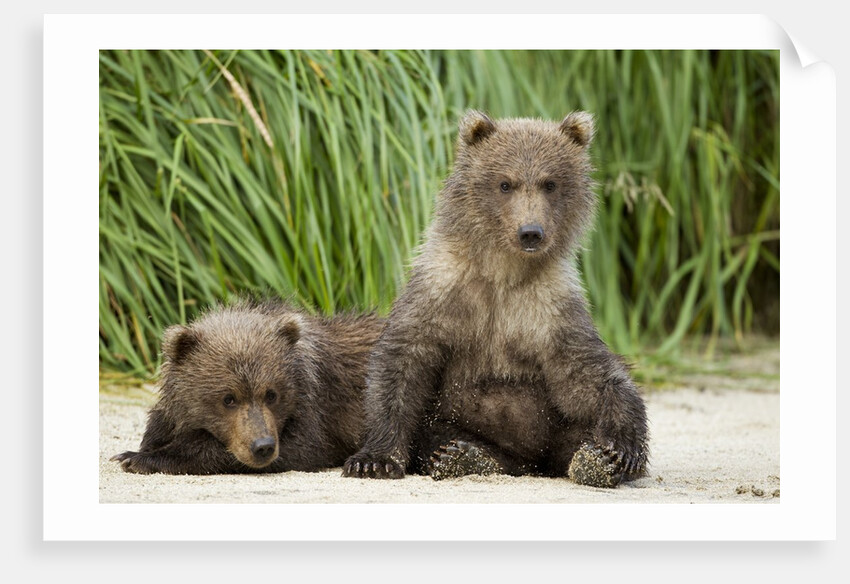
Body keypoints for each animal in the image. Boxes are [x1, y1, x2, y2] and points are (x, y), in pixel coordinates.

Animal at [112, 299, 384, 475]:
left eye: (272, 394)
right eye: (228, 398)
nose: (263, 446)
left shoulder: (316, 405)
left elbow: (303, 448)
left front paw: (137, 458)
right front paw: (139, 450)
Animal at [342, 110, 649, 488]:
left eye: (550, 183)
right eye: (505, 183)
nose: (531, 232)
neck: (502, 273)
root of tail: (529, 464)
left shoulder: (551, 307)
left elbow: (588, 373)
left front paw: (621, 449)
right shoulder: (440, 289)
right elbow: (403, 361)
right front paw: (374, 460)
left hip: (554, 430)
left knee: (576, 432)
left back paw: (593, 461)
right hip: (450, 418)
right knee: (436, 434)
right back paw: (462, 456)